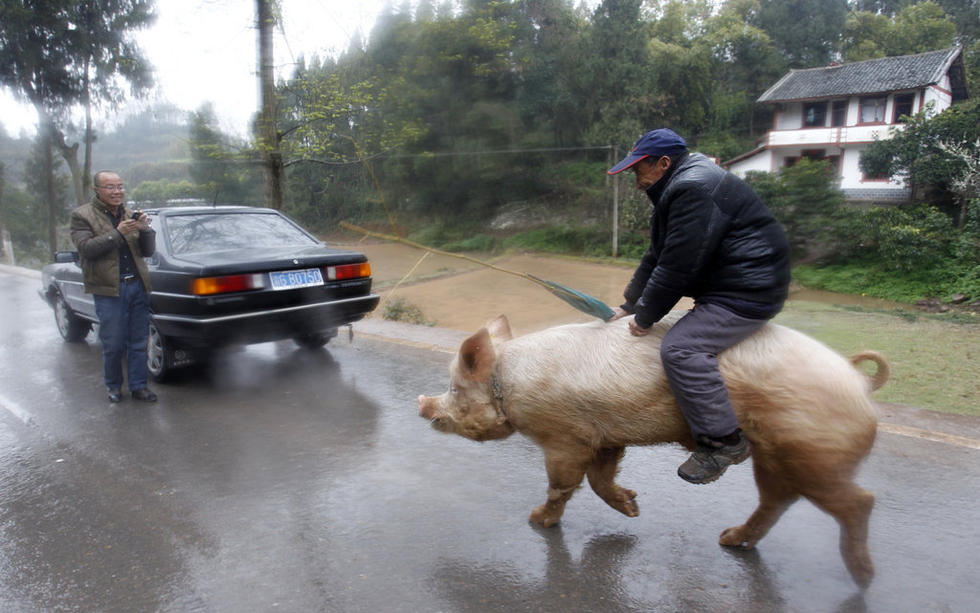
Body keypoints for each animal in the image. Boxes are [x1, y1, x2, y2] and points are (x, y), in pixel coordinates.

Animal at [418, 314, 884, 584]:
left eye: (454, 388)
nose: (422, 405)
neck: (508, 384)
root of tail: (859, 385)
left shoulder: (564, 435)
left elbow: (563, 482)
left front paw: (536, 521)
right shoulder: (604, 436)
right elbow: (600, 478)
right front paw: (633, 509)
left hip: (812, 452)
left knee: (858, 501)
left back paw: (863, 576)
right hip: (776, 457)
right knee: (776, 500)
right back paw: (729, 541)